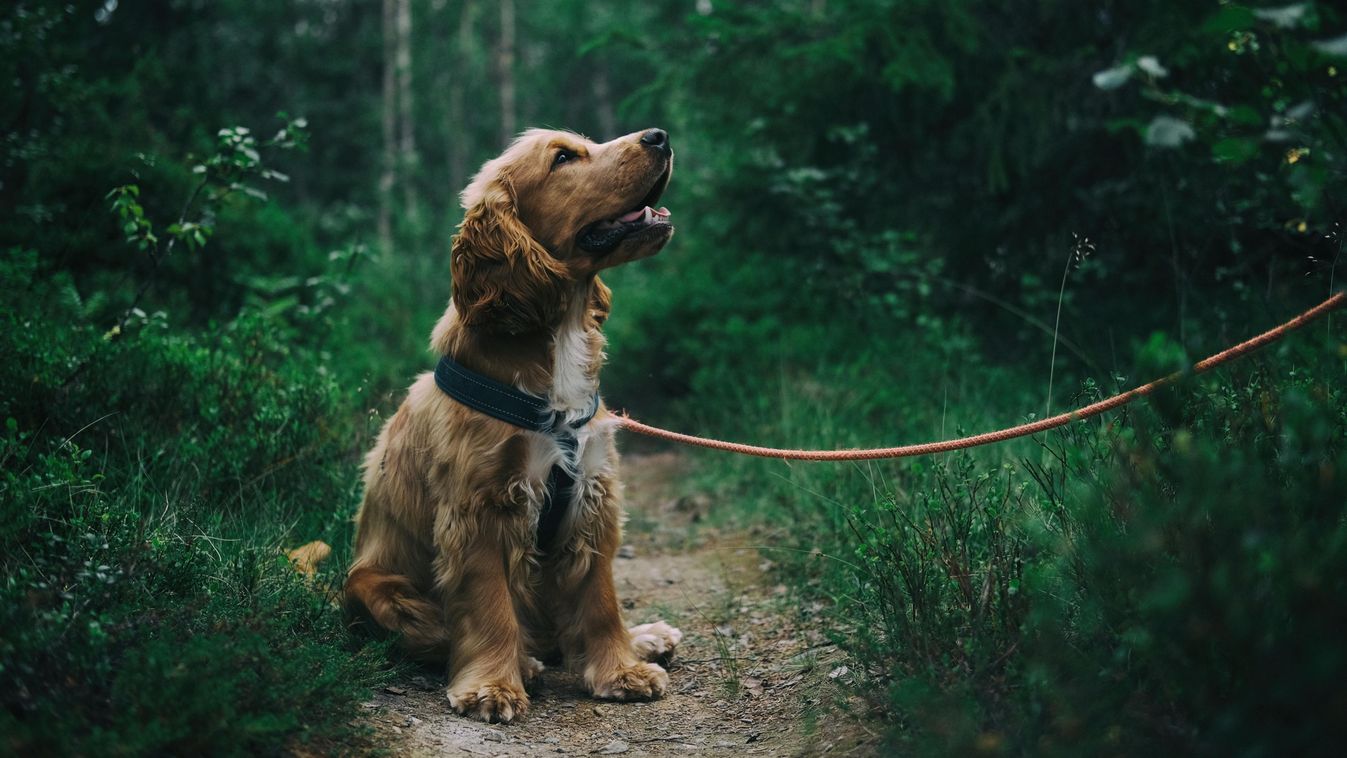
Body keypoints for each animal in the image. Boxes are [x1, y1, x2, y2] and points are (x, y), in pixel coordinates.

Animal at [347, 129, 684, 721]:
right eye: (564, 158)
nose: (659, 136)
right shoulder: (480, 508)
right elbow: (488, 606)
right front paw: (492, 687)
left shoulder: (592, 495)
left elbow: (600, 599)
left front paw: (621, 670)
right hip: (374, 586)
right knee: (443, 634)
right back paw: (524, 663)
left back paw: (644, 637)